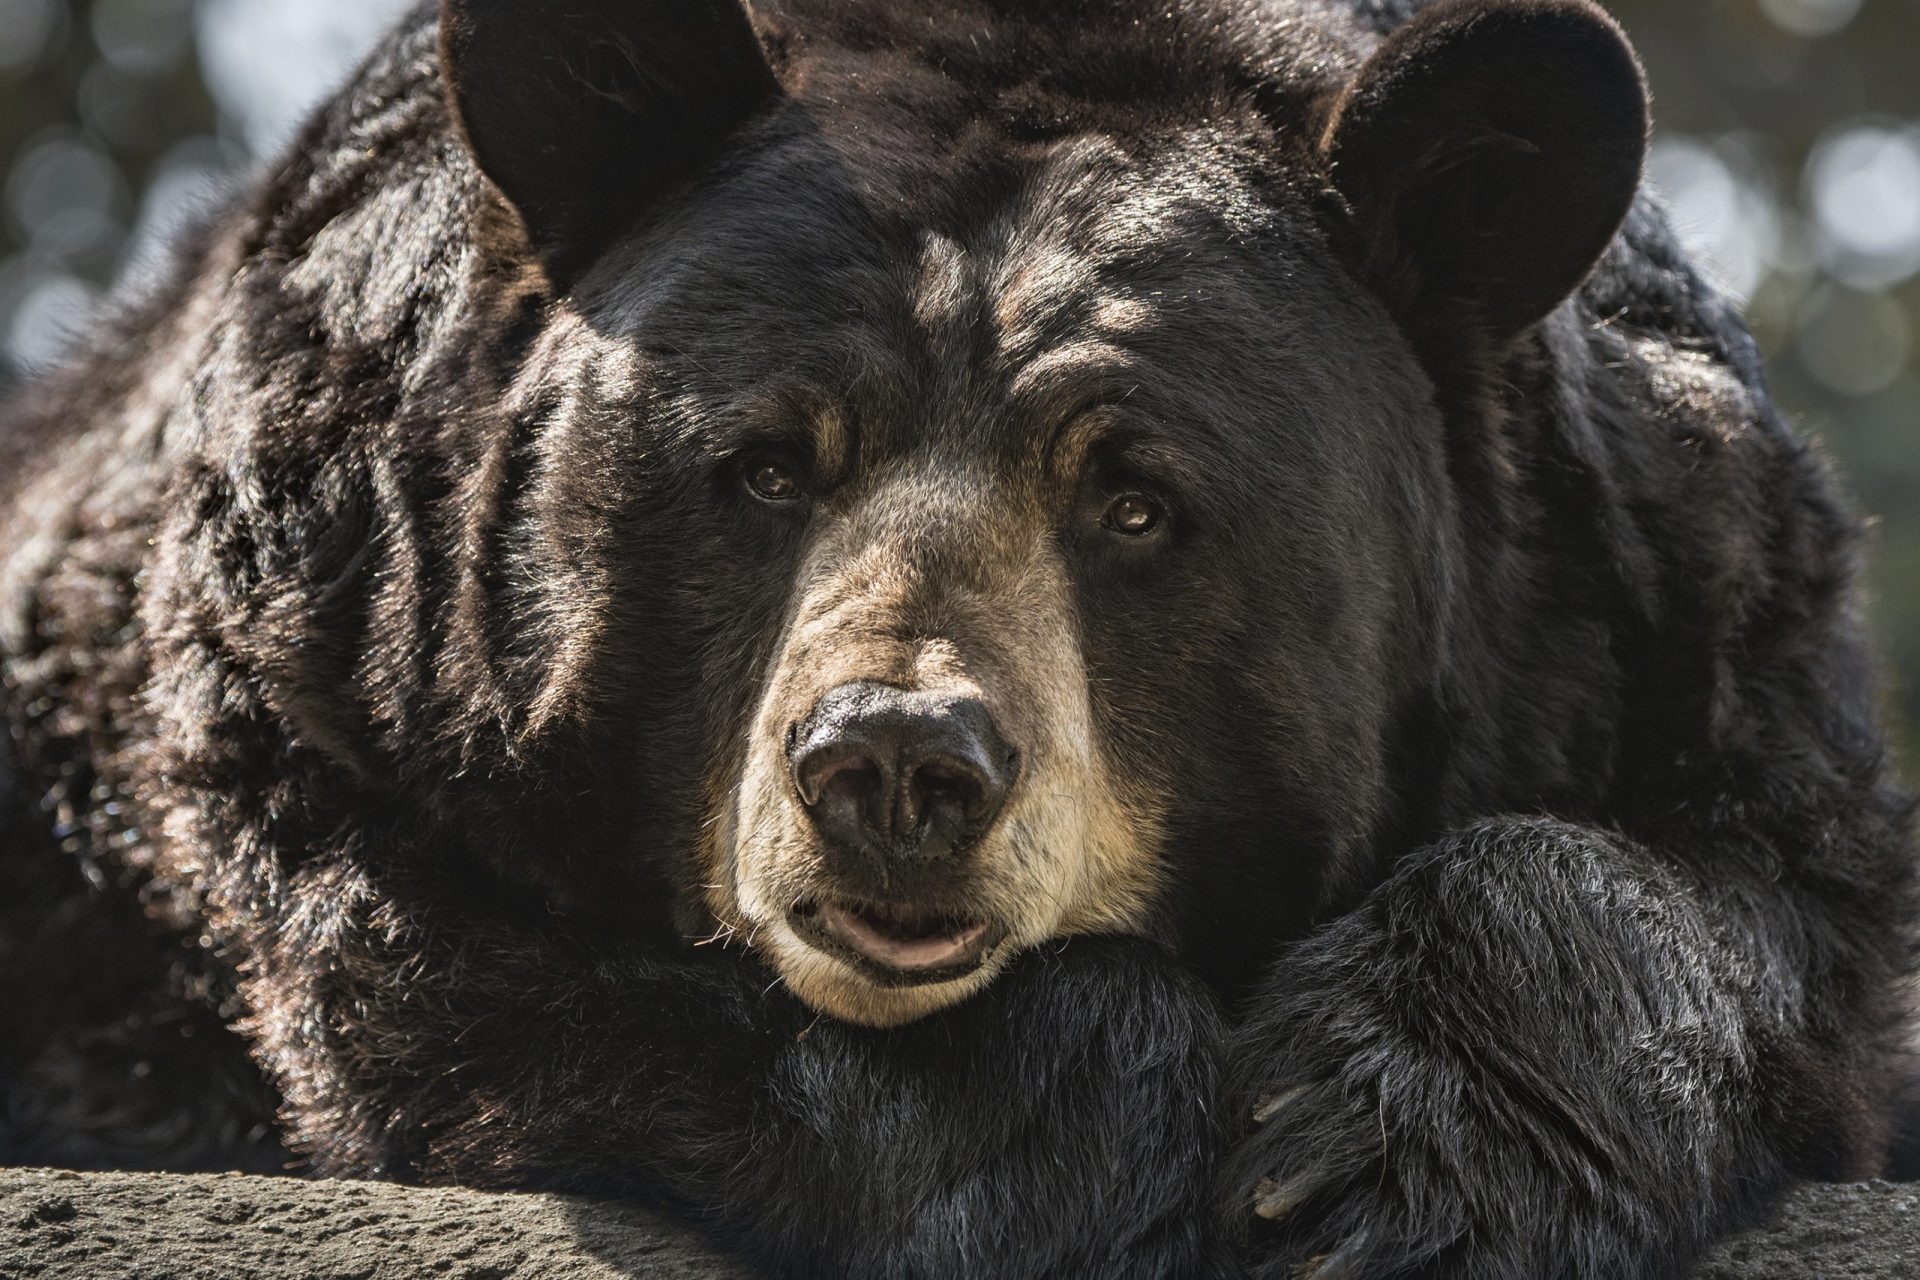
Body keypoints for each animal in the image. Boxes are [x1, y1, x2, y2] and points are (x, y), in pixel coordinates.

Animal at [1, 0, 1914, 1275]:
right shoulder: (340, 642)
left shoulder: (1672, 594)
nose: (896, 767)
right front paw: (1101, 1135)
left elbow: (1757, 897)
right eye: (766, 464)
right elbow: (471, 978)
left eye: (1136, 500)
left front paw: (1386, 1165)